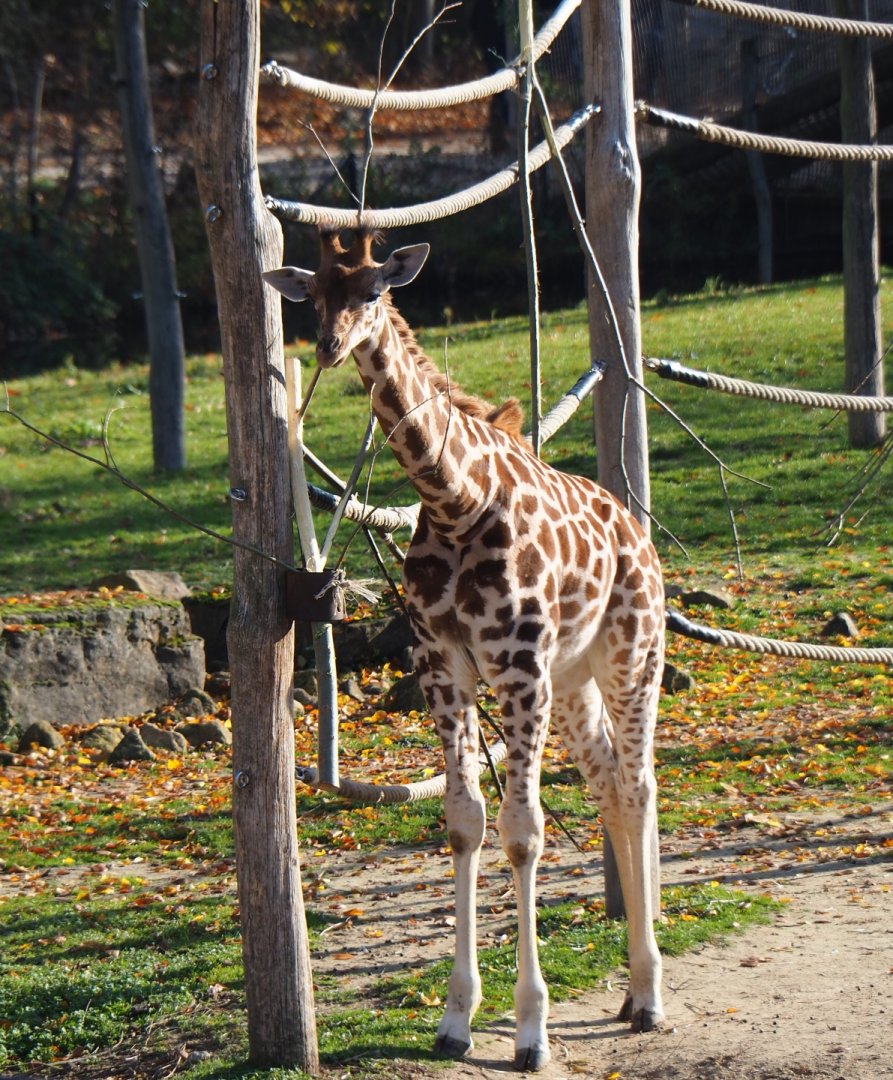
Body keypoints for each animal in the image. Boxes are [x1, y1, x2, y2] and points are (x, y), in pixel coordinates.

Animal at [264, 229, 665, 1072]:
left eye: (373, 291)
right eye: (312, 295)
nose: (329, 347)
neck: (453, 499)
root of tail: (636, 532)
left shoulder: (518, 669)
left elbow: (523, 832)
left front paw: (530, 1032)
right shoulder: (441, 666)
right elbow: (464, 822)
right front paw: (455, 1020)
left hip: (629, 655)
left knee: (640, 783)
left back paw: (650, 996)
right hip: (574, 679)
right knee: (611, 786)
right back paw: (631, 990)